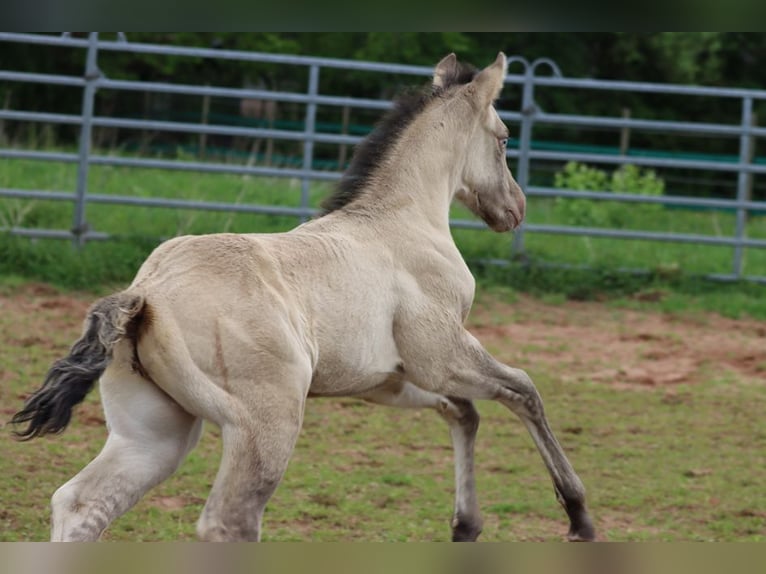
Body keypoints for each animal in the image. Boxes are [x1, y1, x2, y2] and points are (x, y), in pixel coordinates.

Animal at [11, 52, 595, 542]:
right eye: (504, 137)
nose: (515, 209)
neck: (400, 223)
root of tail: (145, 292)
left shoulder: (388, 380)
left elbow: (463, 412)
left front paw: (467, 526)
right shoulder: (442, 354)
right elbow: (523, 391)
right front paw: (578, 516)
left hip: (154, 436)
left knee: (79, 505)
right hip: (264, 427)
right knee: (229, 523)